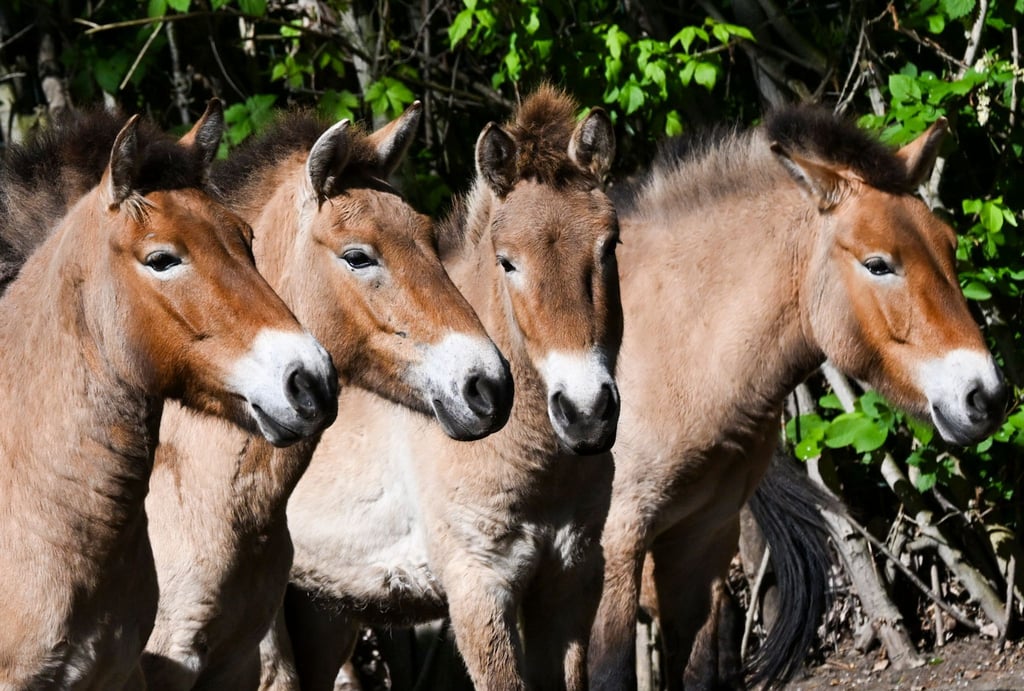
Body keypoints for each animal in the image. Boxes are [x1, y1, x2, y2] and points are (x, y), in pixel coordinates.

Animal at [261, 85, 621, 691]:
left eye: (609, 246)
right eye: (508, 263)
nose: (587, 411)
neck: (538, 462)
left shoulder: (572, 580)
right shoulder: (480, 592)